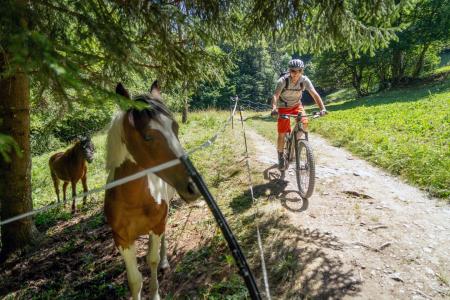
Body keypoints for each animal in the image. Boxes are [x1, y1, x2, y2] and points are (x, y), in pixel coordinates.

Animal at [105, 81, 200, 300]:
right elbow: (135, 280)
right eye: (148, 137)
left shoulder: (157, 225)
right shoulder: (122, 240)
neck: (132, 199)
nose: (194, 185)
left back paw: (165, 261)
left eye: (175, 127)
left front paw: (155, 293)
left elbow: (152, 261)